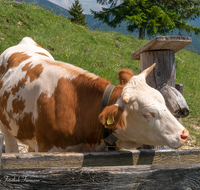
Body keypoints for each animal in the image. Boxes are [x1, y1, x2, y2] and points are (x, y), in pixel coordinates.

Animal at [0, 37, 188, 153]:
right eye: (148, 113)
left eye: (164, 103)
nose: (184, 134)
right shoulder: (47, 148)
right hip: (6, 124)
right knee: (11, 147)